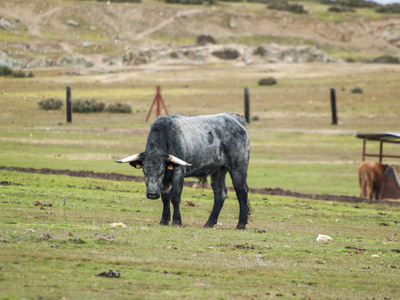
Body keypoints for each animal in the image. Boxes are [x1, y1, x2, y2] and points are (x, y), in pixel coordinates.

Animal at [115, 113, 250, 229]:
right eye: (144, 171)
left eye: (161, 171)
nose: (152, 194)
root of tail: (236, 119)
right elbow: (165, 198)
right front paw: (164, 220)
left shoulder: (178, 172)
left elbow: (175, 196)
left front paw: (177, 221)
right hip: (218, 170)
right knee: (220, 194)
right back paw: (209, 223)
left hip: (238, 168)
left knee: (241, 191)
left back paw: (241, 224)